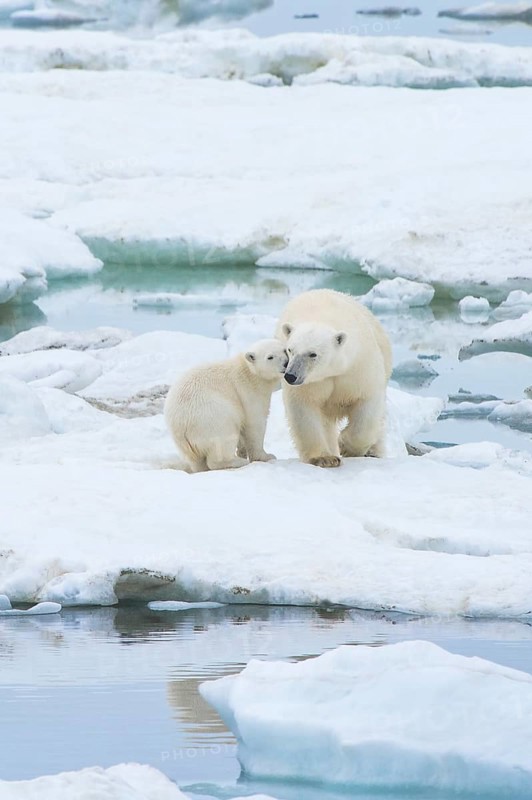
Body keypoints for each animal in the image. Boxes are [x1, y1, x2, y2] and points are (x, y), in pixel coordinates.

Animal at [164, 339, 288, 473]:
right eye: (270, 357)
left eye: (284, 350)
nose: (286, 363)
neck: (248, 371)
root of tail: (181, 426)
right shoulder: (249, 392)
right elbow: (255, 424)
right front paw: (266, 456)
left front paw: (242, 451)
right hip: (211, 418)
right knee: (224, 439)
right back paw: (237, 461)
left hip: (186, 444)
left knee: (196, 461)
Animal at [276, 289, 392, 468]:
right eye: (290, 350)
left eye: (313, 354)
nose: (290, 376)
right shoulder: (311, 384)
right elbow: (304, 409)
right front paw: (324, 458)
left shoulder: (359, 367)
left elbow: (367, 404)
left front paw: (346, 446)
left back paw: (373, 452)